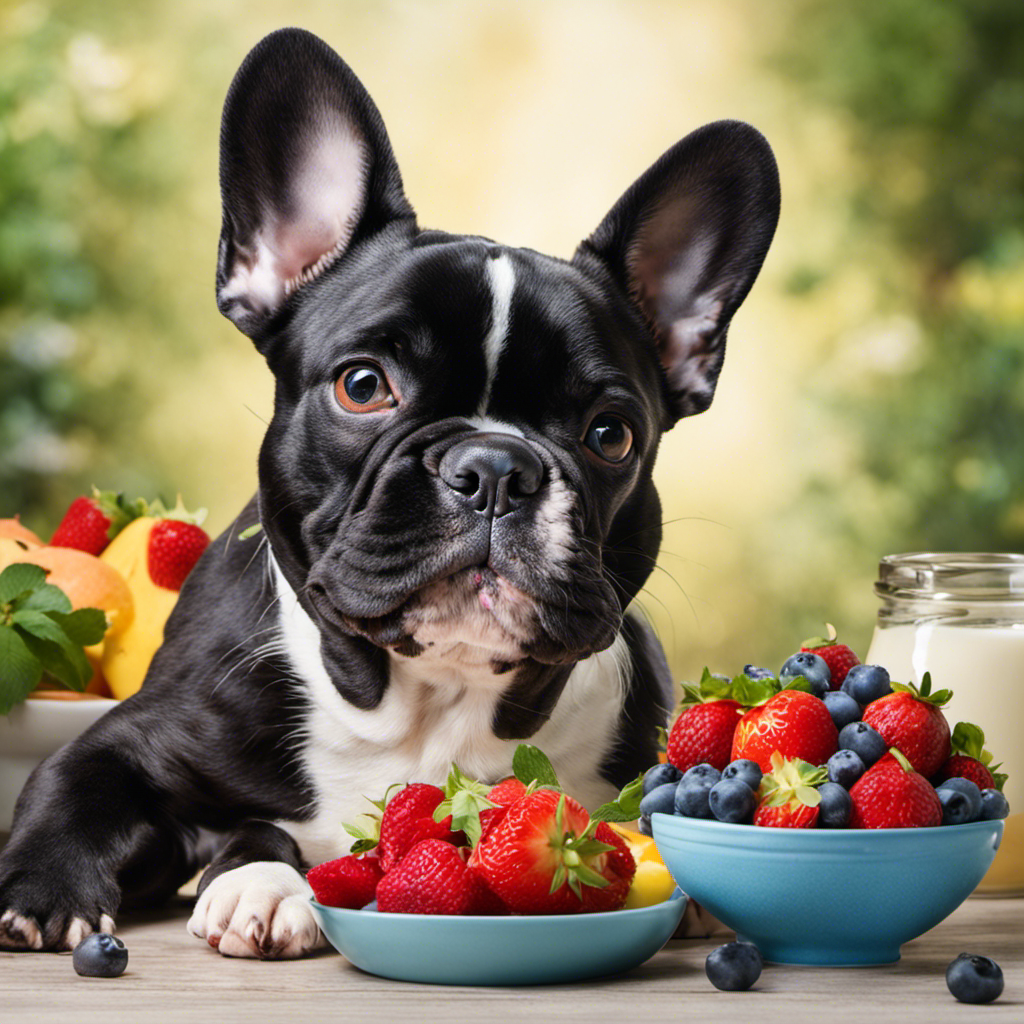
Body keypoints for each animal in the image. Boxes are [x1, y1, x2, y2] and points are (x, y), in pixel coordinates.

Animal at [0, 32, 774, 958]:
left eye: (609, 435)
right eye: (364, 386)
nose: (494, 467)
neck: (425, 700)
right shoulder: (134, 739)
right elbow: (72, 785)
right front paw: (63, 892)